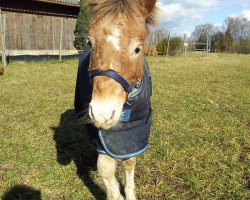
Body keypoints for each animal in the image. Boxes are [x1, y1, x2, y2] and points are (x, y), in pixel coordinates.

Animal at [74, 0, 157, 199]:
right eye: (90, 43)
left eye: (137, 49)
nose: (103, 114)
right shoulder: (100, 134)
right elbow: (105, 168)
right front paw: (115, 194)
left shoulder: (134, 130)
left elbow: (129, 161)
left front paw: (129, 194)